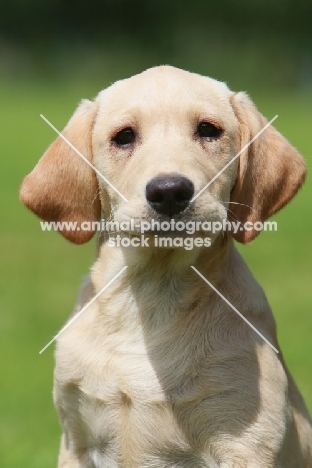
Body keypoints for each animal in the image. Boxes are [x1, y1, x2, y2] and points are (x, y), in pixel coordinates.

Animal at [20, 66, 310, 468]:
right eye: (124, 136)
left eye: (208, 130)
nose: (170, 191)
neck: (152, 290)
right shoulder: (76, 439)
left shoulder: (246, 440)